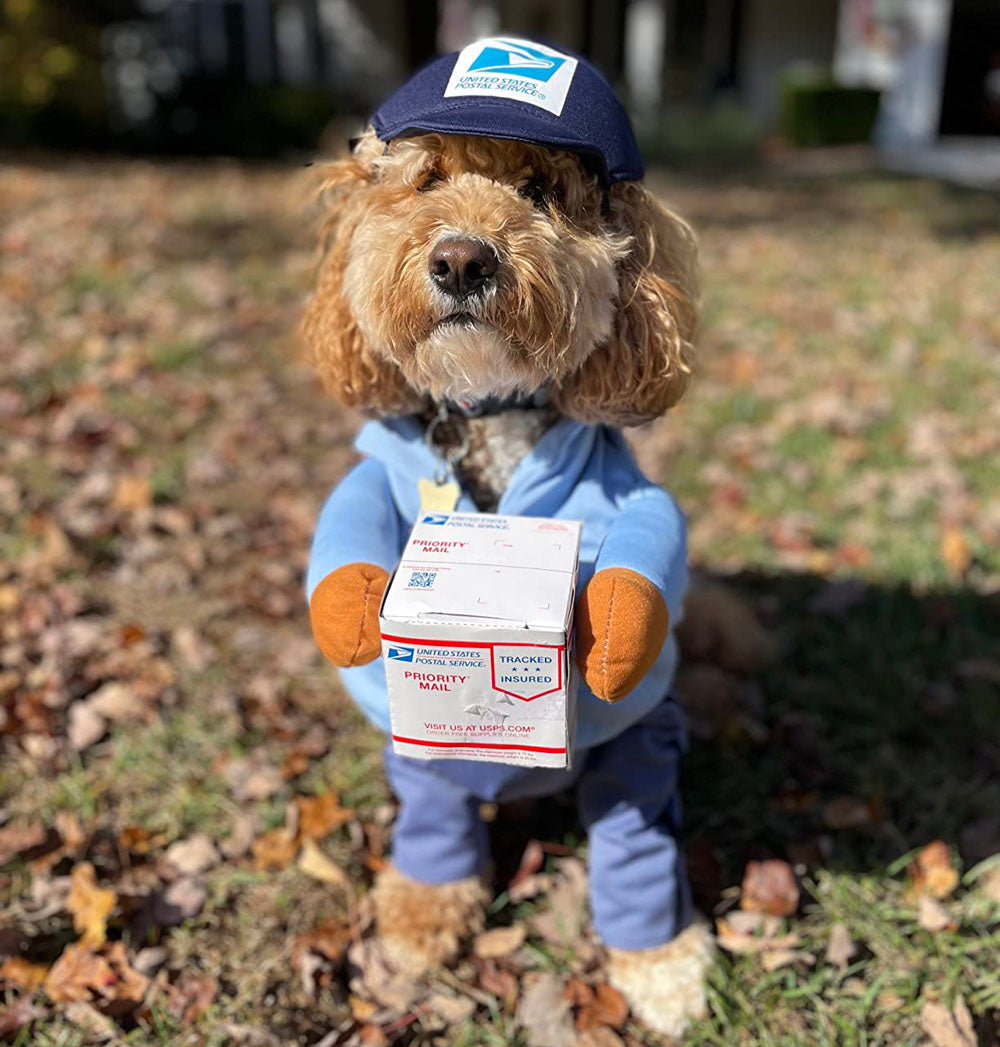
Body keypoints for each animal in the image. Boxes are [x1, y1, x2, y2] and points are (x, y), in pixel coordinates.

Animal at [305, 36, 720, 1034]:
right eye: (425, 181)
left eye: (539, 189)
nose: (461, 260)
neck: (488, 411)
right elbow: (345, 528)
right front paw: (347, 608)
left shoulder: (631, 496)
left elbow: (653, 543)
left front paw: (615, 625)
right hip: (421, 761)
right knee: (434, 825)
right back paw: (420, 910)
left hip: (638, 759)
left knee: (634, 843)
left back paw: (660, 959)